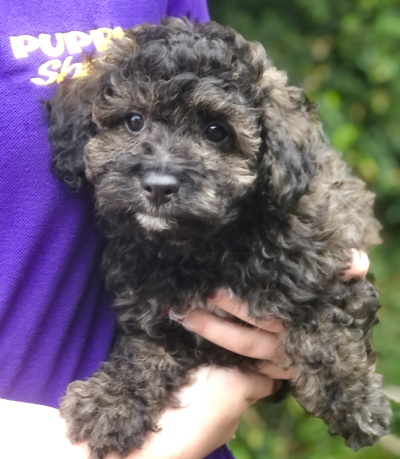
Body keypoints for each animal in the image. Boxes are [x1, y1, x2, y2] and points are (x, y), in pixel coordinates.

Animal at [46, 18, 390, 459]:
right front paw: (112, 402)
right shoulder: (154, 307)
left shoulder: (331, 266)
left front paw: (354, 401)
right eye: (134, 121)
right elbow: (143, 352)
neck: (203, 247)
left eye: (216, 132)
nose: (158, 186)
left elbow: (326, 331)